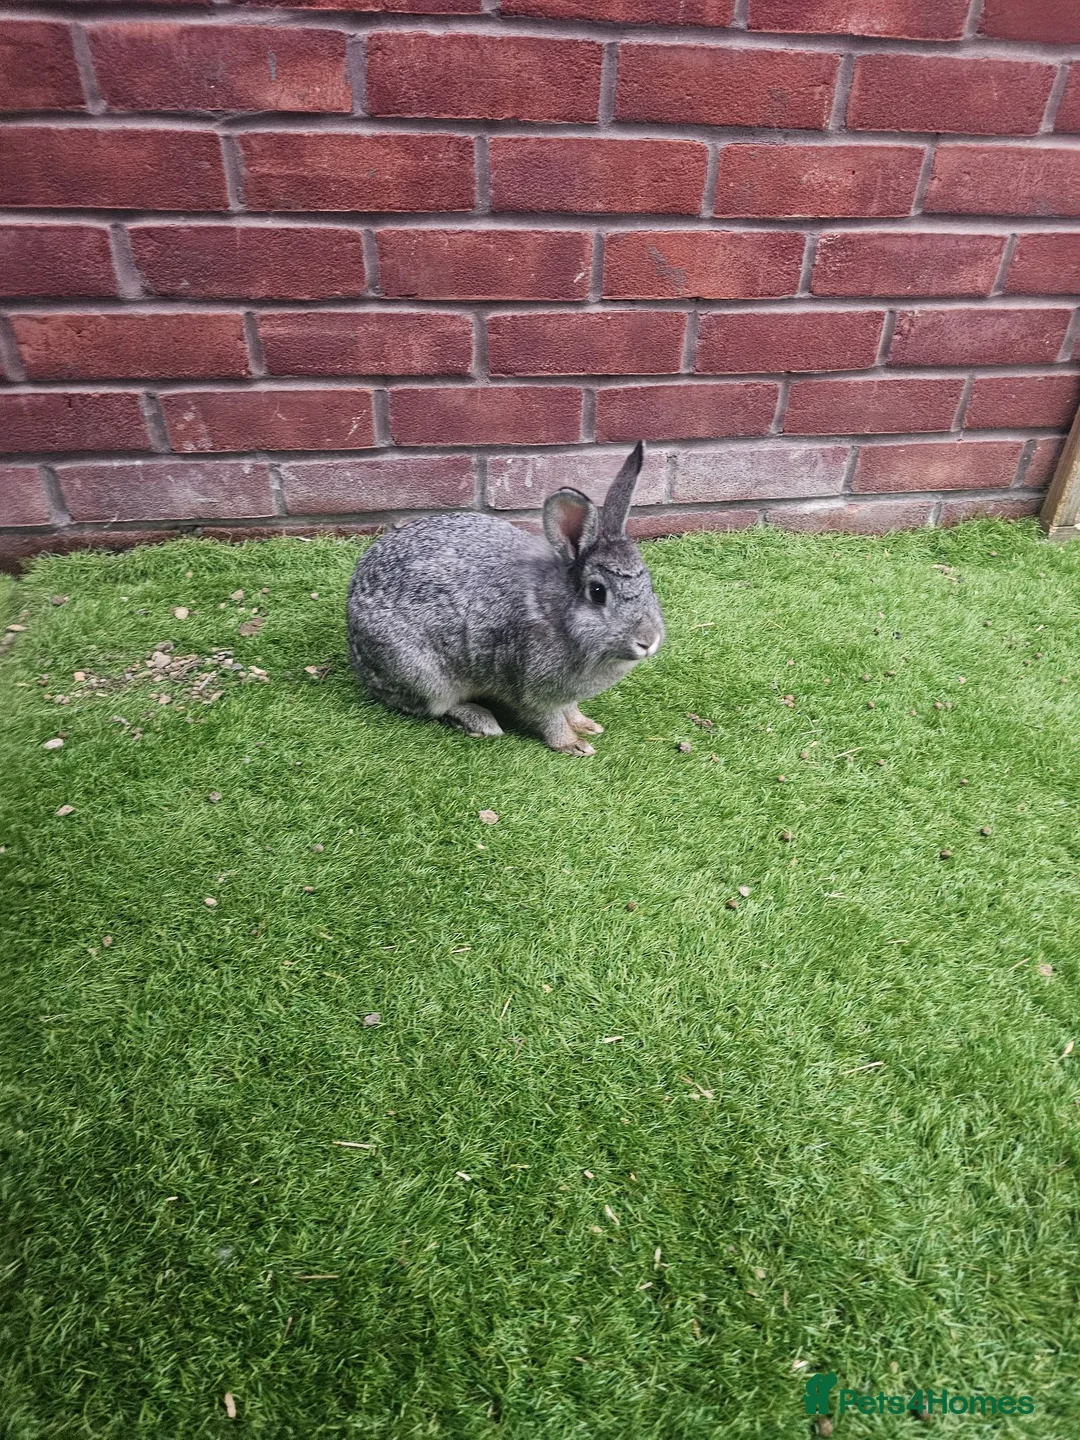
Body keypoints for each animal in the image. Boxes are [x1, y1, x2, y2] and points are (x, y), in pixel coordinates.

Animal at [346, 441, 665, 755]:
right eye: (598, 593)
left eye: (649, 583)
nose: (648, 641)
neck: (556, 611)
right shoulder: (532, 688)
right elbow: (549, 719)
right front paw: (572, 744)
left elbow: (570, 709)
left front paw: (586, 725)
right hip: (423, 675)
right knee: (434, 706)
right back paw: (481, 721)